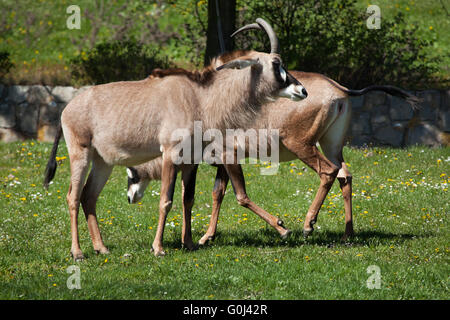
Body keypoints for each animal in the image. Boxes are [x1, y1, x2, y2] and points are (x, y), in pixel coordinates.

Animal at [44, 18, 308, 260]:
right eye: (276, 64)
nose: (302, 90)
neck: (200, 98)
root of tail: (67, 108)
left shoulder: (191, 160)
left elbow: (187, 199)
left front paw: (189, 243)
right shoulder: (170, 154)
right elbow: (166, 200)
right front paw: (158, 248)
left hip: (103, 162)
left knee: (89, 196)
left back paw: (101, 248)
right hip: (80, 153)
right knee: (73, 196)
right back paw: (77, 252)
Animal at [125, 67, 418, 244]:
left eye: (131, 173)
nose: (129, 198)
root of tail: (340, 89)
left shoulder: (229, 156)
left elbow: (241, 196)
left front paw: (282, 227)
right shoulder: (225, 160)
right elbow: (218, 193)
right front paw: (207, 236)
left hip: (302, 145)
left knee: (328, 172)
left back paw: (308, 225)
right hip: (332, 145)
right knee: (345, 175)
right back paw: (348, 234)